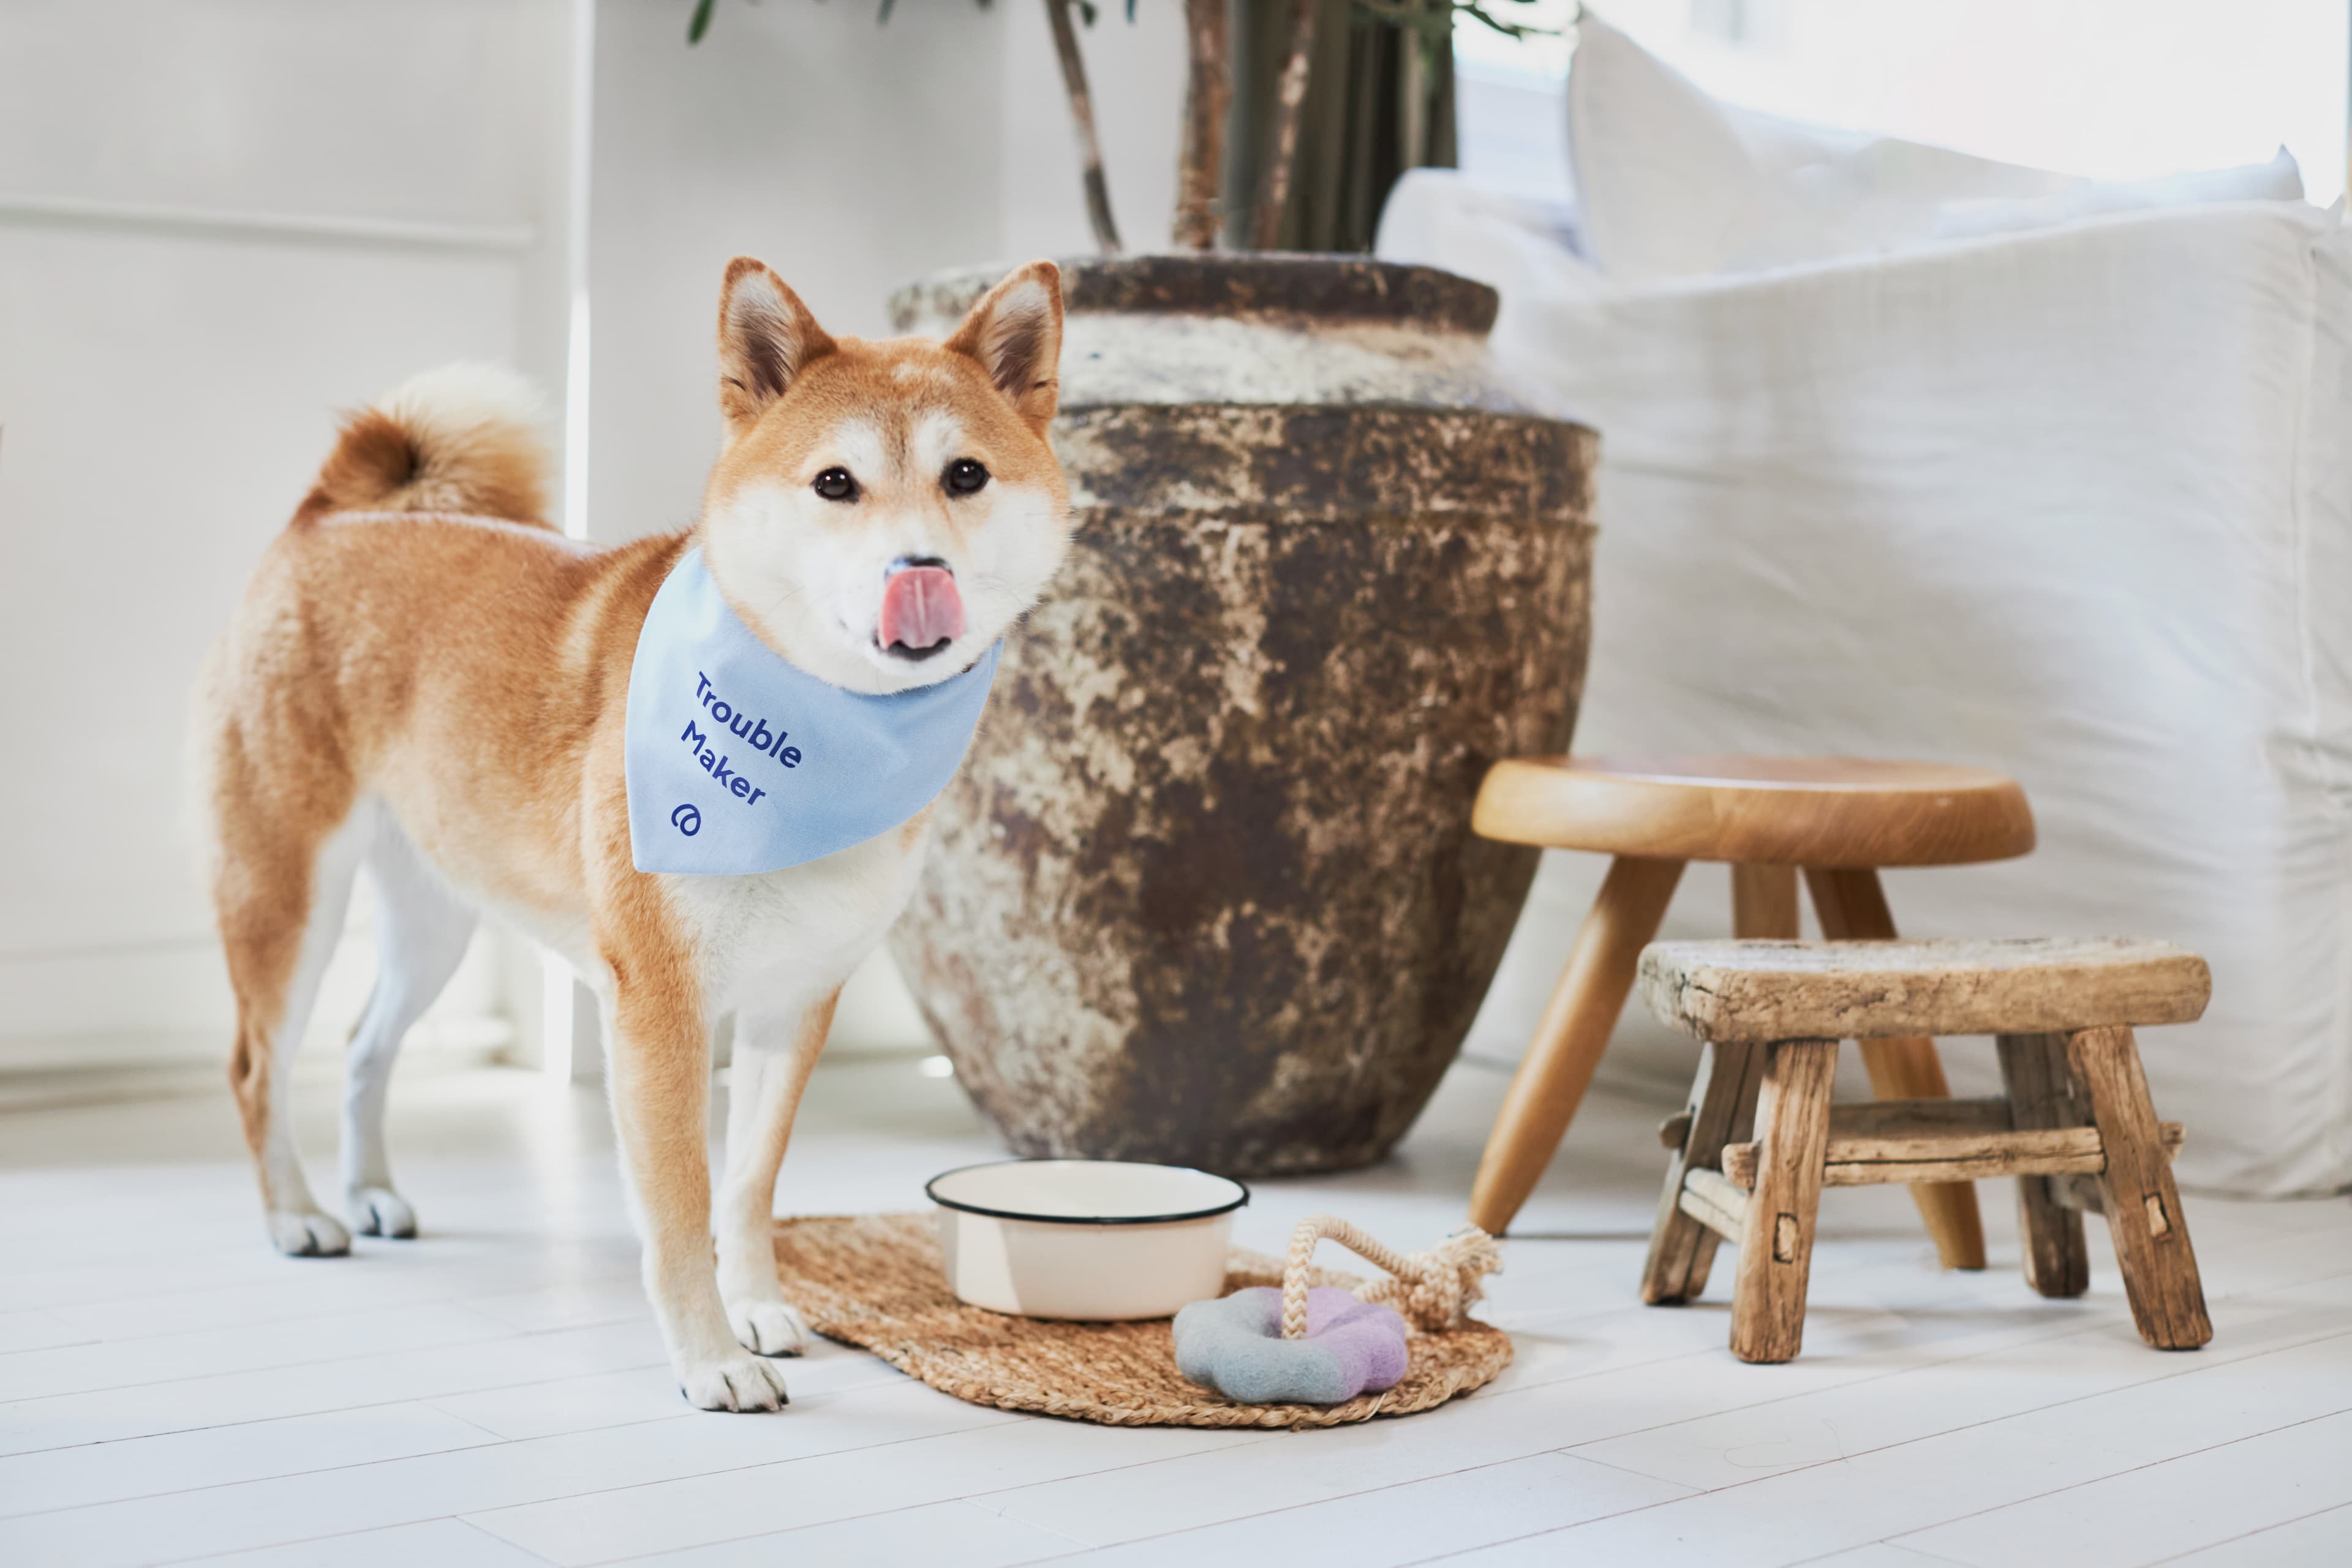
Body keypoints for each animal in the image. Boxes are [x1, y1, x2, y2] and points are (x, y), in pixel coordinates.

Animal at [197, 255, 1072, 1410]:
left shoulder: (796, 1002)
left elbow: (747, 1186)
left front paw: (757, 1310)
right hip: (285, 896)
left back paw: (374, 1193)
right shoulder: (658, 1007)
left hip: (438, 920)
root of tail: (326, 518)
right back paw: (299, 1215)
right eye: (836, 484)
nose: (916, 569)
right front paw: (712, 1360)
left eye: (965, 475)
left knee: (362, 1048)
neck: (821, 737)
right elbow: (681, 1206)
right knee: (259, 1067)